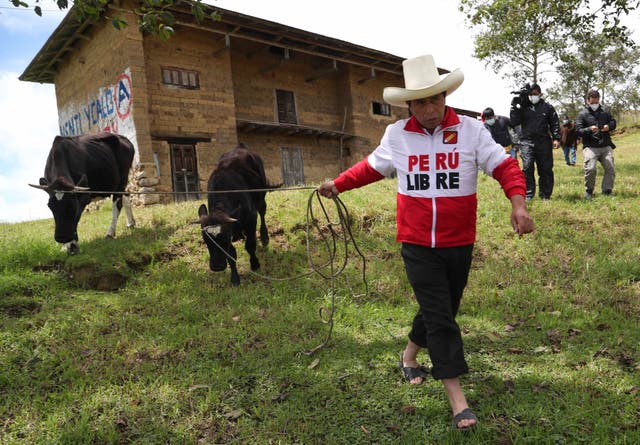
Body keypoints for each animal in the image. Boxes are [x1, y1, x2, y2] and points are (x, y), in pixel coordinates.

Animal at [199, 144, 272, 286]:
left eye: (225, 239)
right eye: (206, 240)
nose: (217, 267)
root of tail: (240, 147)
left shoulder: (251, 219)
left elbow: (250, 245)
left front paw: (255, 264)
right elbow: (231, 255)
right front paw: (235, 278)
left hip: (262, 194)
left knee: (262, 211)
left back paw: (264, 237)